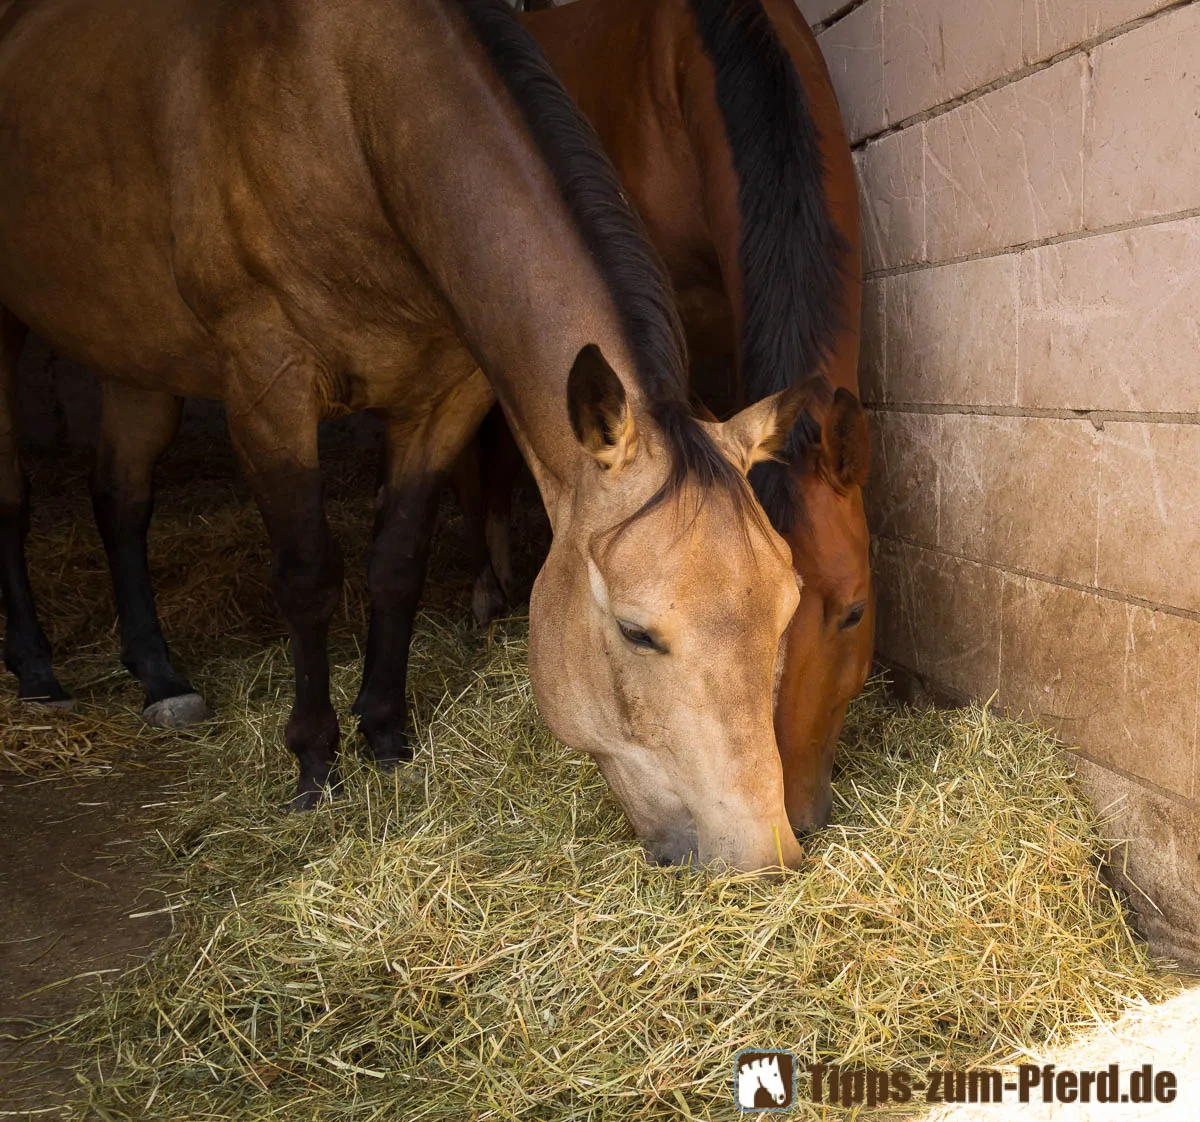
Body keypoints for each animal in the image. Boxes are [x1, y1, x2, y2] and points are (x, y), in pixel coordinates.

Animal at [0, 0, 811, 868]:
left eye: (788, 607)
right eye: (635, 632)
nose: (763, 856)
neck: (348, 104)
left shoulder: (444, 393)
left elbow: (397, 567)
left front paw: (385, 741)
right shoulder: (268, 383)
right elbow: (309, 577)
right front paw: (315, 765)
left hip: (134, 359)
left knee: (120, 497)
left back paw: (160, 678)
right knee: (19, 502)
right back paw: (38, 673)